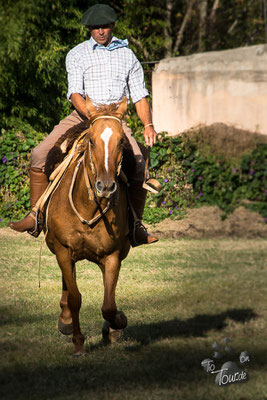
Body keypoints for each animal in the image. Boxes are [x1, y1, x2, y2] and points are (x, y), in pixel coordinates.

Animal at [45, 98, 131, 354]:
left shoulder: (112, 256)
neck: (88, 207)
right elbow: (75, 298)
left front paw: (117, 324)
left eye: (121, 141)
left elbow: (109, 306)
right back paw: (65, 320)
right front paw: (78, 342)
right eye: (91, 140)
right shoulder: (63, 251)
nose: (106, 186)